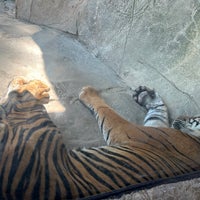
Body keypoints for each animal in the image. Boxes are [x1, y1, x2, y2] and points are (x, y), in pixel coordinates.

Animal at [0, 77, 199, 200]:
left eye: (192, 118)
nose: (181, 117)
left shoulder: (129, 130)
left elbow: (107, 111)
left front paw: (88, 93)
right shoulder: (155, 126)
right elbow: (158, 111)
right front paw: (146, 94)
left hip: (38, 127)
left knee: (18, 101)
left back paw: (35, 85)